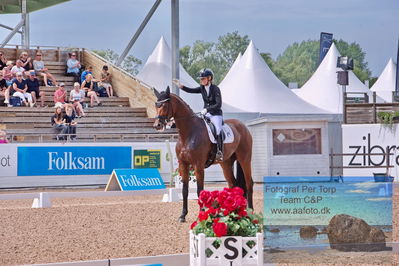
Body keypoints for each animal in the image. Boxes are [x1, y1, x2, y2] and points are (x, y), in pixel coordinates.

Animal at [153, 87, 253, 222]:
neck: (188, 133)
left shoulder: (198, 166)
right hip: (226, 163)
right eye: (156, 104)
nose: (157, 125)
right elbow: (185, 190)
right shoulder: (183, 164)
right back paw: (234, 213)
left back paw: (250, 212)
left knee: (249, 184)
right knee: (233, 184)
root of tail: (244, 126)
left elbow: (199, 190)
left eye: (164, 105)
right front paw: (182, 215)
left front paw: (201, 215)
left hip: (245, 159)